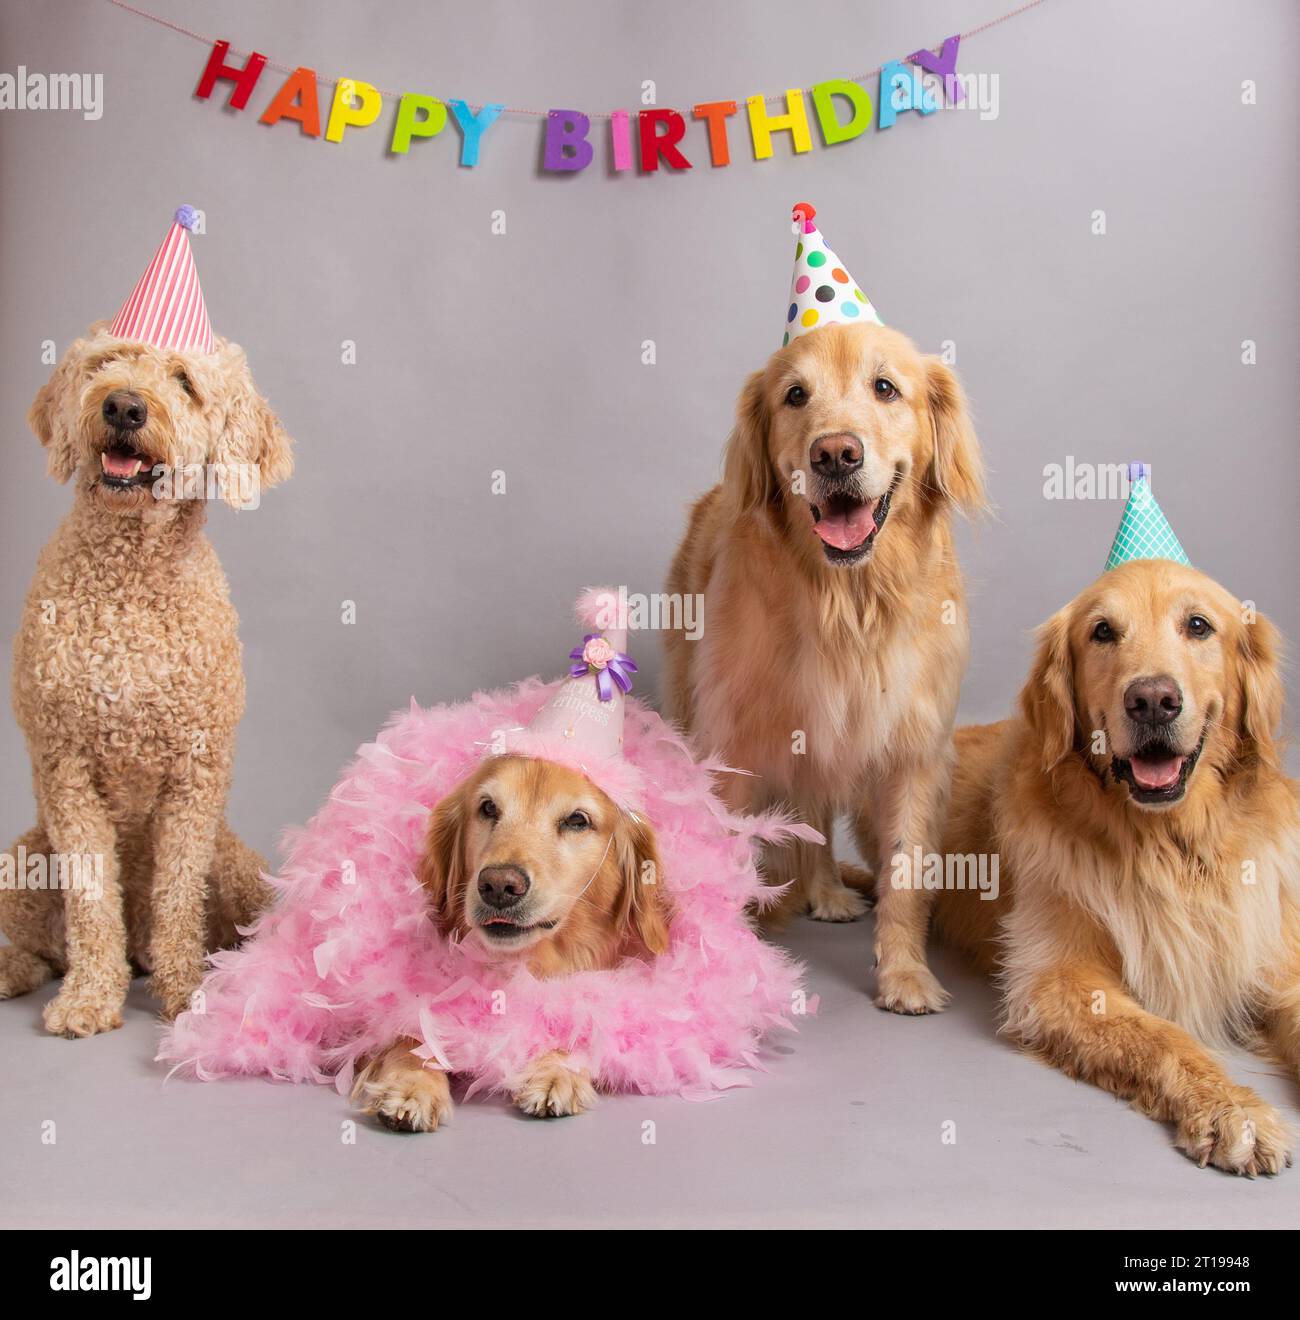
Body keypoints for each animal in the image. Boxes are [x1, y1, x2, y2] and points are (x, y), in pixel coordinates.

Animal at [2, 213, 290, 1040]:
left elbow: (174, 894)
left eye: (185, 382)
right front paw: (89, 998)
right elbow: (93, 899)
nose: (125, 406)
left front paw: (184, 989)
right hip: (20, 861)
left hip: (240, 865)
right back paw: (19, 971)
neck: (131, 582)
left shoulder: (195, 778)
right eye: (106, 364)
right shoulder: (64, 768)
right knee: (37, 942)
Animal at [353, 755, 670, 1124]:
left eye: (577, 820)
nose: (498, 886)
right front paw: (411, 1083)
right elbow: (409, 1029)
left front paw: (557, 1069)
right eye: (488, 808)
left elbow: (576, 1019)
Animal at [934, 557, 1298, 1177]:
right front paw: (1231, 1109)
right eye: (1102, 632)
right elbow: (1165, 1038)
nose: (1153, 700)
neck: (1171, 845)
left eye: (1198, 625)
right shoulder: (1058, 977)